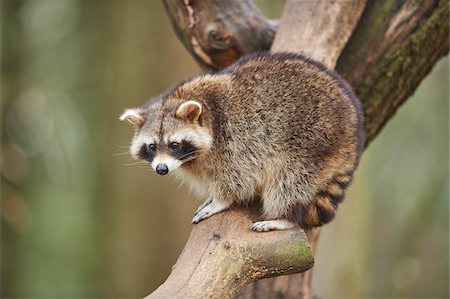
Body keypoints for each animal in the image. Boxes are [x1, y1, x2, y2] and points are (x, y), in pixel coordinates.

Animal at [118, 52, 362, 232]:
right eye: (151, 147)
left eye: (174, 145)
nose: (162, 169)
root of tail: (354, 132)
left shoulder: (235, 140)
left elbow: (238, 178)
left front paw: (220, 200)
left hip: (313, 143)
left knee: (289, 182)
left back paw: (284, 218)